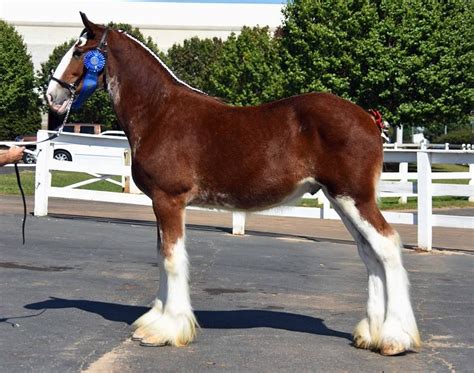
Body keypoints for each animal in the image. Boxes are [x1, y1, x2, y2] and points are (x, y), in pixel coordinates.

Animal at [46, 13, 420, 354]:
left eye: (79, 50)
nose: (51, 94)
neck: (159, 113)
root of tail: (368, 119)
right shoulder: (159, 203)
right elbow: (162, 254)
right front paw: (155, 321)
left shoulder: (169, 200)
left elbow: (171, 257)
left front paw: (167, 330)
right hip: (342, 199)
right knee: (369, 252)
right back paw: (371, 333)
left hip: (354, 197)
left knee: (386, 246)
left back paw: (394, 338)